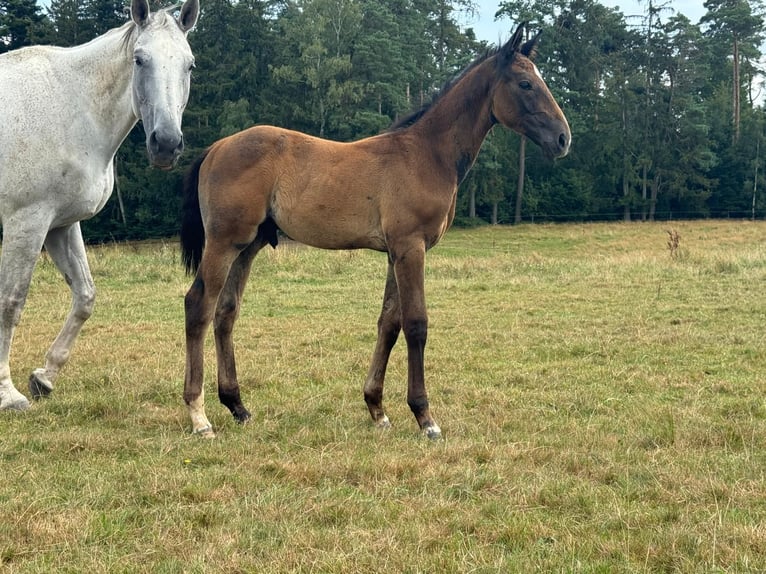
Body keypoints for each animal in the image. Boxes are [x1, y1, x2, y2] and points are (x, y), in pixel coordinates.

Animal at [0, 0, 201, 412]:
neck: (69, 108)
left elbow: (85, 296)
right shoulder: (26, 223)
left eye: (189, 65)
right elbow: (11, 302)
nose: (166, 144)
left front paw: (44, 377)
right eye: (139, 59)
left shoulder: (60, 225)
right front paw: (7, 394)